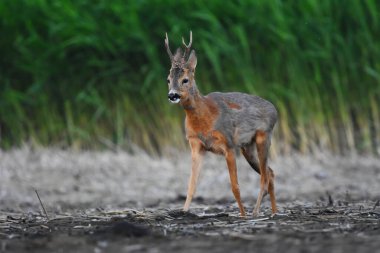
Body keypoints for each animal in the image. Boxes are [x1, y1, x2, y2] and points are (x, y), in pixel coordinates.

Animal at [165, 31, 278, 217]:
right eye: (168, 79)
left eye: (185, 79)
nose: (172, 95)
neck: (206, 116)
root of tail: (274, 109)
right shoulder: (196, 145)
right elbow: (191, 185)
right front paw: (183, 211)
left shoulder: (229, 144)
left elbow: (235, 186)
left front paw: (243, 215)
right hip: (247, 147)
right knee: (270, 172)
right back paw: (274, 211)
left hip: (264, 137)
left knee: (264, 176)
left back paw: (255, 212)